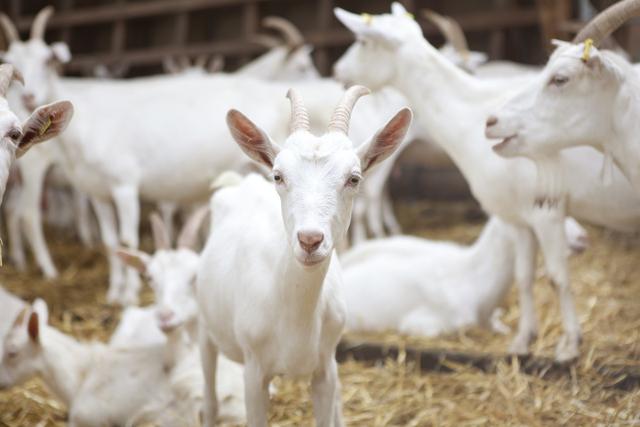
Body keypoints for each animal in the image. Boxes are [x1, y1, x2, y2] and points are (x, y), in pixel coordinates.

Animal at [198, 85, 412, 426]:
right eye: (278, 176)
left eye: (354, 178)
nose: (310, 240)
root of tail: (242, 183)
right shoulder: (254, 373)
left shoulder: (325, 368)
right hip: (206, 327)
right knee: (209, 391)